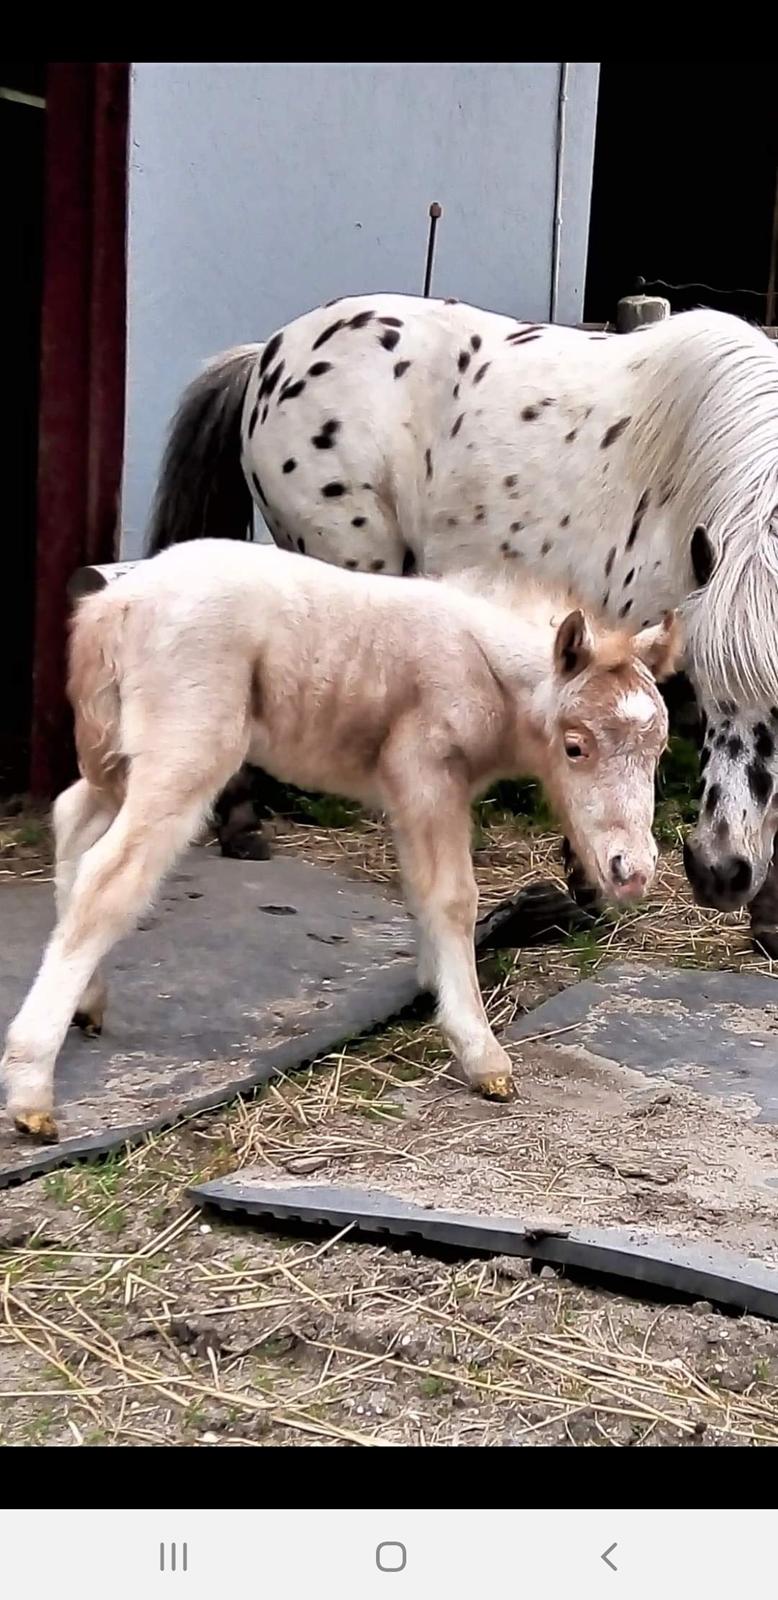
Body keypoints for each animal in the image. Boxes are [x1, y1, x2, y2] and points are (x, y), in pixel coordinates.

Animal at [3, 544, 678, 1145]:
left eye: (659, 749)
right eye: (575, 745)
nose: (632, 871)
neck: (481, 663)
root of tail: (114, 602)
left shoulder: (410, 794)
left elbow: (420, 891)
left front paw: (432, 989)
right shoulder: (426, 773)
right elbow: (453, 897)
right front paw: (481, 1054)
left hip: (119, 755)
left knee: (73, 820)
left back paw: (87, 1005)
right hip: (184, 751)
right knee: (110, 877)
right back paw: (32, 1091)